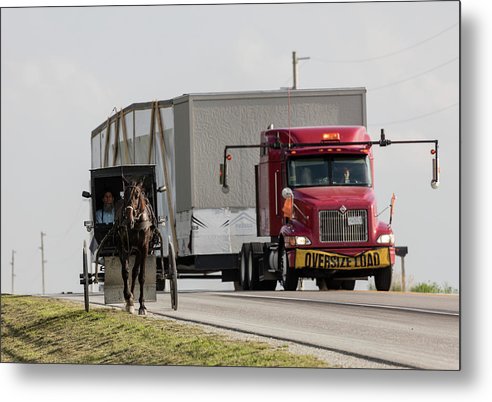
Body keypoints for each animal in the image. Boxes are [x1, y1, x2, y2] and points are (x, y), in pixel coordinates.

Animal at [114, 178, 156, 314]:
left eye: (137, 195)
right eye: (125, 195)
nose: (129, 219)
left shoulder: (144, 248)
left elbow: (141, 276)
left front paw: (142, 305)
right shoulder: (125, 246)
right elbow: (125, 271)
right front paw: (128, 298)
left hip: (138, 251)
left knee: (135, 272)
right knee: (130, 272)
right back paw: (130, 298)